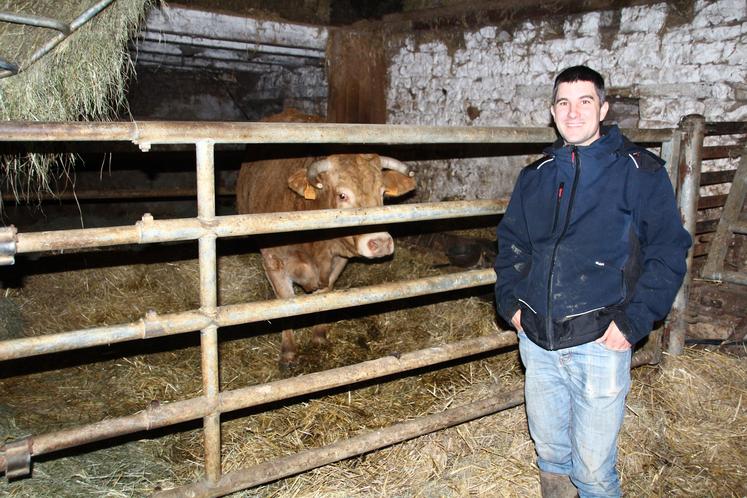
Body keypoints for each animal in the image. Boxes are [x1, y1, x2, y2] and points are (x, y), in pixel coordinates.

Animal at [238, 114, 418, 370]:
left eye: (383, 194)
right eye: (342, 195)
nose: (381, 243)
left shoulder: (338, 261)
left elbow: (326, 294)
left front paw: (319, 337)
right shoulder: (274, 262)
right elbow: (285, 303)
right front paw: (288, 353)